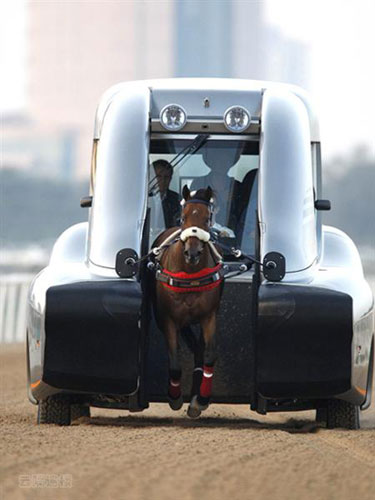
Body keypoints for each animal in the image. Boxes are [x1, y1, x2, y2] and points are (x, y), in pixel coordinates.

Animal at [152, 184, 223, 418]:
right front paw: (174, 398)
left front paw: (200, 400)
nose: (193, 252)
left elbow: (209, 354)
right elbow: (174, 361)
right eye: (182, 217)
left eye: (207, 218)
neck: (190, 275)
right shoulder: (168, 319)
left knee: (200, 351)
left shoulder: (209, 316)